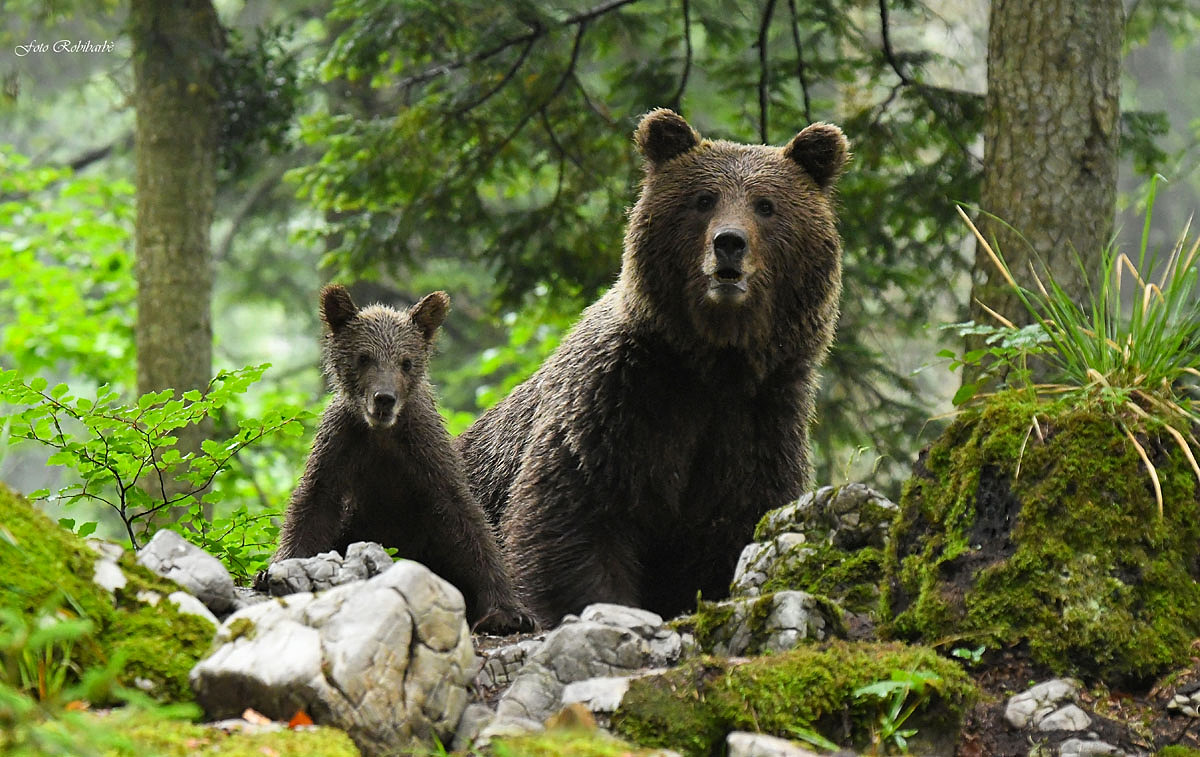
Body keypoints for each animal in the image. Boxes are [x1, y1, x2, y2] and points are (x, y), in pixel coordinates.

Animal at [267, 284, 533, 633]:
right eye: (364, 357)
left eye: (406, 362)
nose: (384, 399)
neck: (382, 434)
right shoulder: (341, 444)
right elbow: (314, 503)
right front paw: (276, 568)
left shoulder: (423, 450)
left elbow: (463, 515)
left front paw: (508, 612)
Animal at [456, 108, 850, 627]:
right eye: (703, 199)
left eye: (766, 205)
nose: (729, 243)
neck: (712, 362)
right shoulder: (618, 406)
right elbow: (575, 518)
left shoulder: (757, 420)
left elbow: (739, 526)